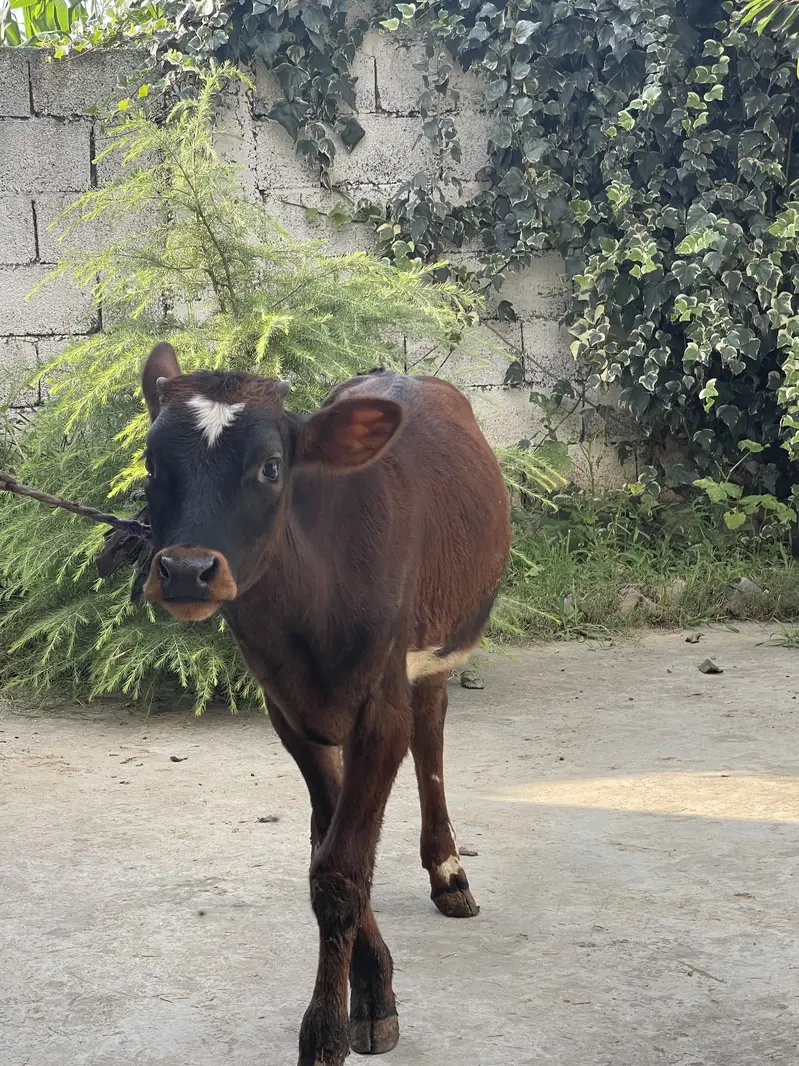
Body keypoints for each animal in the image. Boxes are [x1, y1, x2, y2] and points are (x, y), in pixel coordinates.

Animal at [138, 342, 511, 1065]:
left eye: (271, 466)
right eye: (151, 463)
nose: (187, 570)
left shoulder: (379, 708)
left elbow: (341, 868)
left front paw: (327, 1032)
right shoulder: (289, 712)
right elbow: (330, 849)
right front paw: (369, 992)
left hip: (433, 650)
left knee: (431, 736)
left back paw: (449, 872)